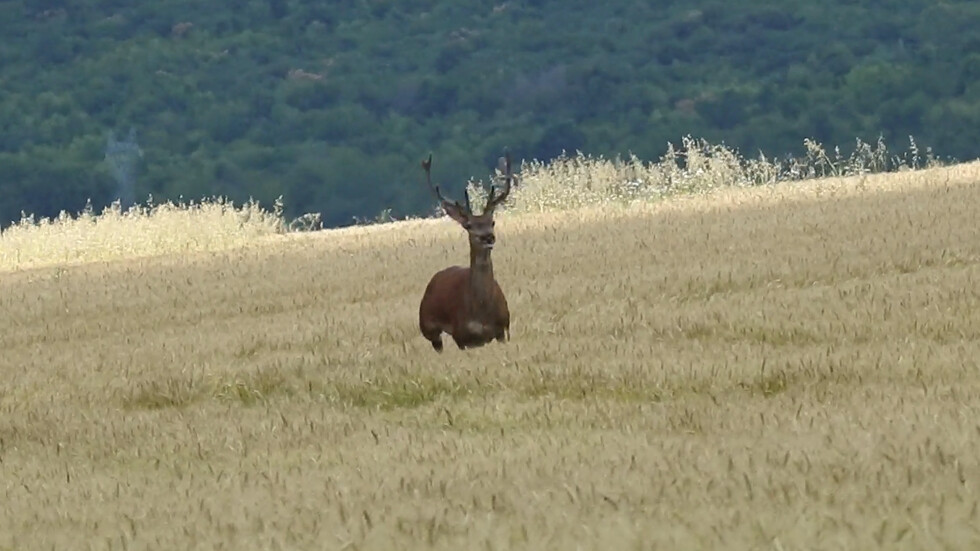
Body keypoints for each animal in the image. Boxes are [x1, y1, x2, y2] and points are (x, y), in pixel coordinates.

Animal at [418, 150, 516, 354]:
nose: (488, 237)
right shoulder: (461, 335)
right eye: (468, 226)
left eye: (492, 221)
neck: (481, 312)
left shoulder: (503, 328)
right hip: (427, 324)